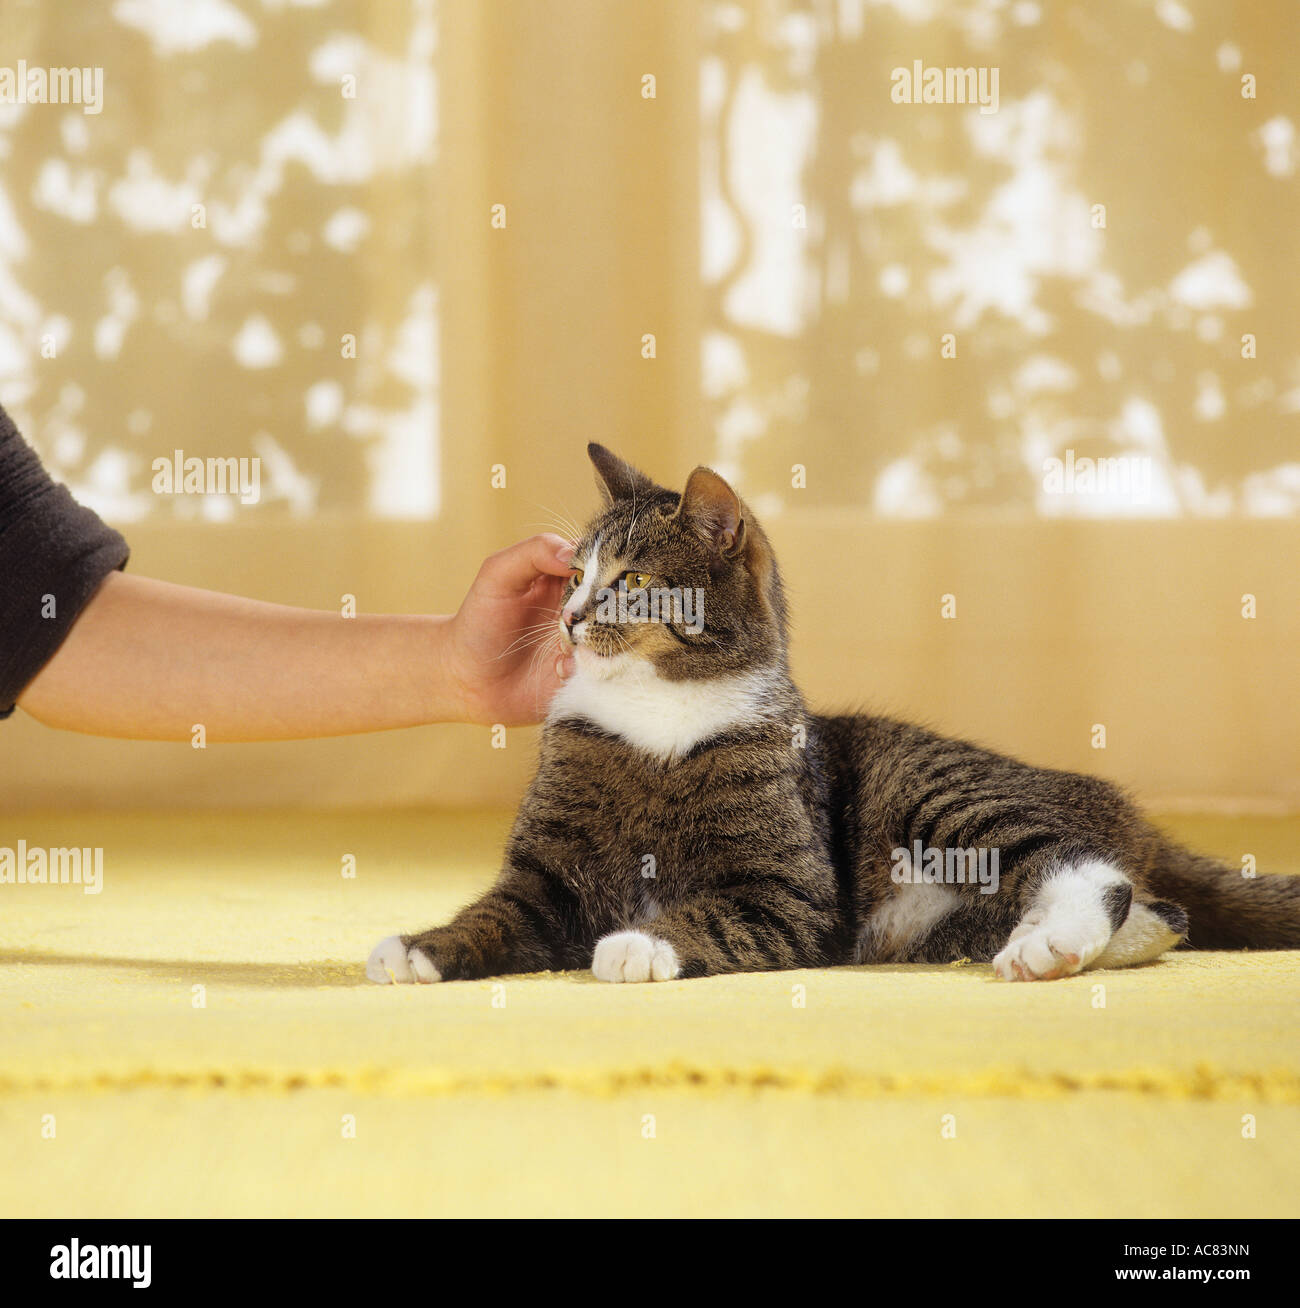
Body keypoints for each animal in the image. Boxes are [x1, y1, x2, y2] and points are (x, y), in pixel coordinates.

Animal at [366, 444, 1297, 983]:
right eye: (570, 574)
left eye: (631, 581)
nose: (565, 616)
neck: (652, 705)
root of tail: (1127, 810)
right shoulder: (546, 873)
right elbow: (497, 912)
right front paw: (420, 946)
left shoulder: (790, 889)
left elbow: (724, 913)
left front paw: (639, 942)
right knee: (1162, 914)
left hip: (934, 789)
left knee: (1087, 865)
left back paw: (1050, 946)